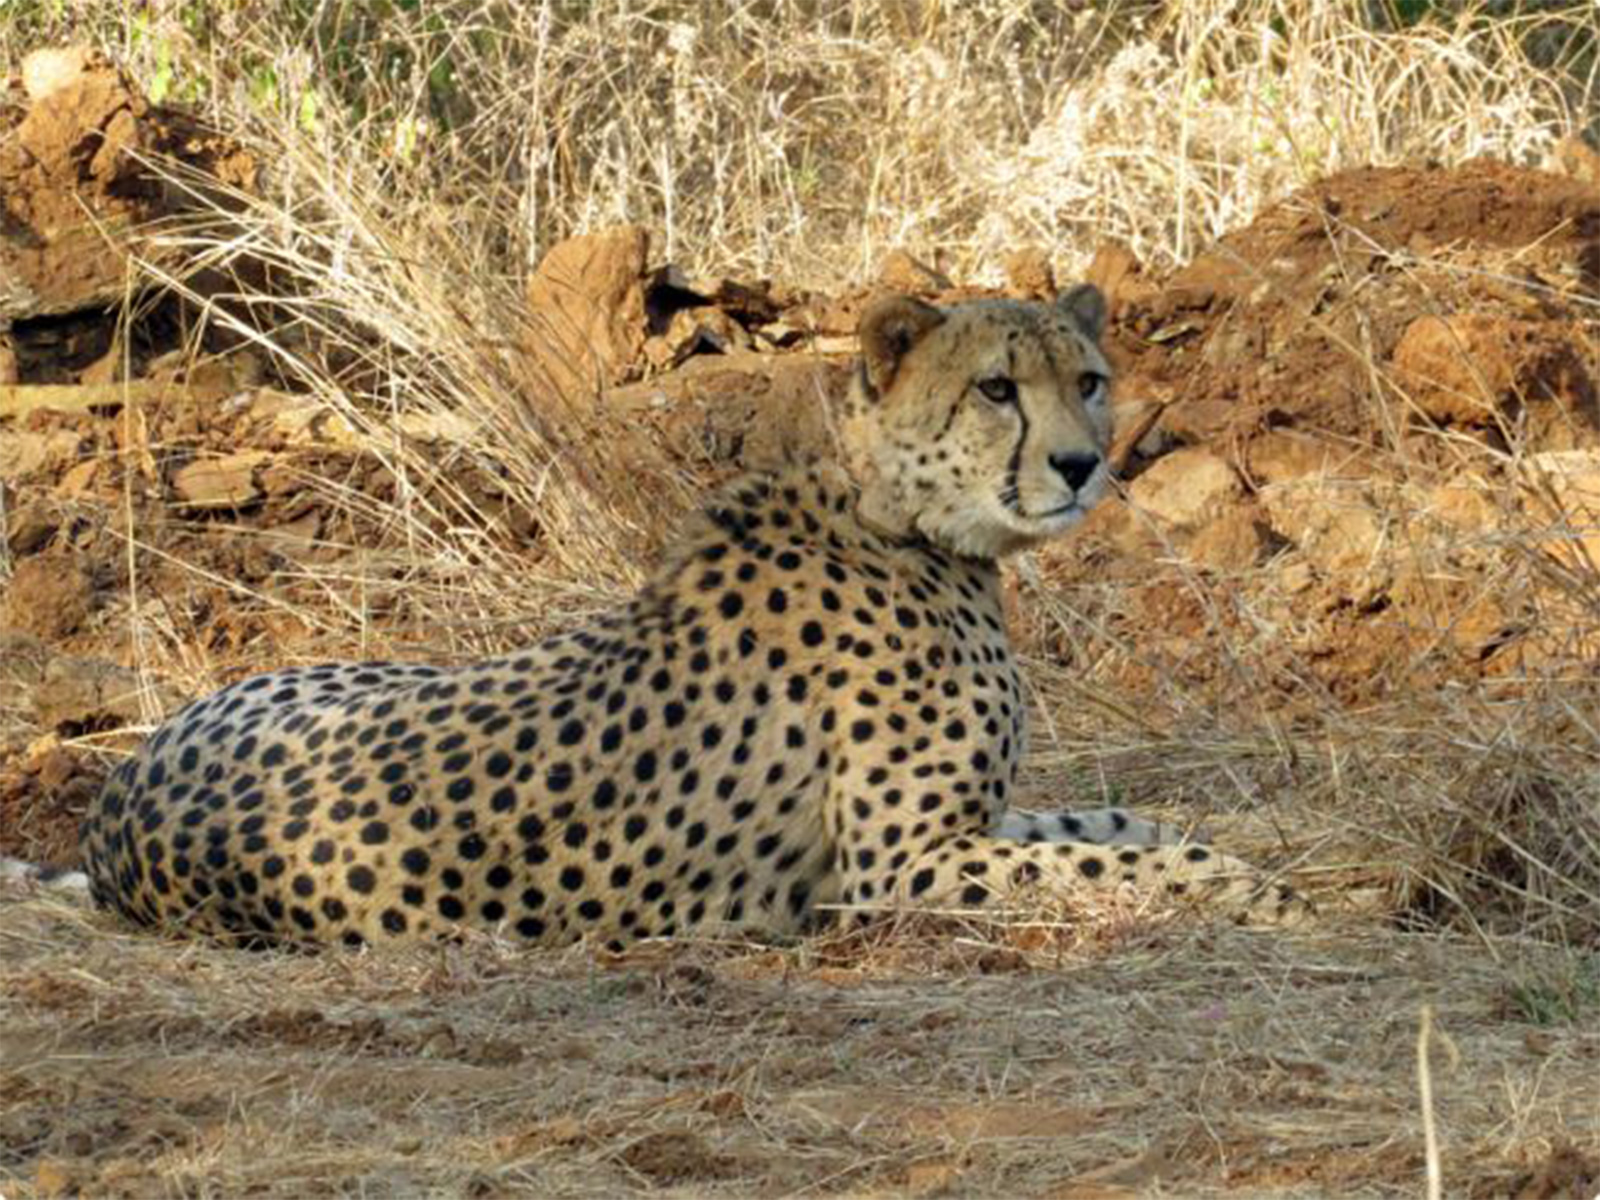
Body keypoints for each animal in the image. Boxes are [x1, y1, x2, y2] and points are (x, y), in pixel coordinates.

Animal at [77, 284, 1308, 949]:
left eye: (1088, 379)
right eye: (996, 390)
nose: (1081, 464)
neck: (902, 520)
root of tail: (113, 808)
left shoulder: (971, 823)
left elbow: (1117, 825)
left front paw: (1229, 859)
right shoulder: (894, 867)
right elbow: (1115, 866)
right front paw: (1252, 892)